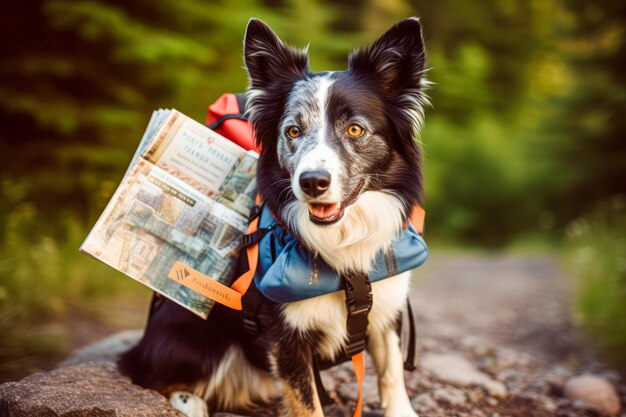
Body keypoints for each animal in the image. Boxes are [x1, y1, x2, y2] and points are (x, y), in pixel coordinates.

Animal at [119, 16, 426, 416]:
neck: (344, 252)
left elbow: (391, 373)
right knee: (154, 378)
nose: (312, 182)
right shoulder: (285, 337)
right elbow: (307, 403)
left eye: (355, 129)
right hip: (194, 339)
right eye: (293, 130)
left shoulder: (387, 309)